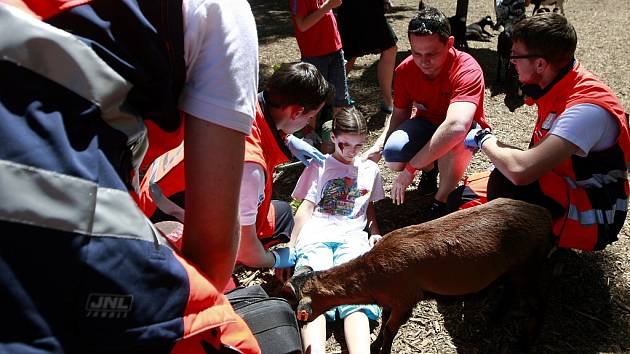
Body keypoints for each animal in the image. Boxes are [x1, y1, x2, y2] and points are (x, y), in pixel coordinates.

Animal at [284, 199, 556, 354]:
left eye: (301, 310)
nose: (301, 323)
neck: (373, 278)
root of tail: (546, 217)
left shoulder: (406, 298)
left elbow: (390, 329)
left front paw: (383, 350)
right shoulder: (390, 300)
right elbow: (385, 324)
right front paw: (374, 345)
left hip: (529, 265)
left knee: (539, 302)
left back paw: (526, 342)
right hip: (515, 268)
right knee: (510, 291)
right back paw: (493, 318)